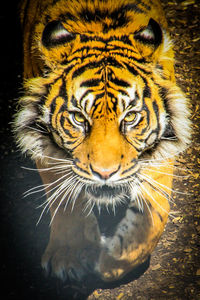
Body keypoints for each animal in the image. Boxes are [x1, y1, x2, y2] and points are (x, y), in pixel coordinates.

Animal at [14, 0, 191, 284]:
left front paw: (114, 261)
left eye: (130, 117)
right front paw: (70, 256)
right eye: (78, 118)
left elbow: (155, 210)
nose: (105, 173)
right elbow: (67, 201)